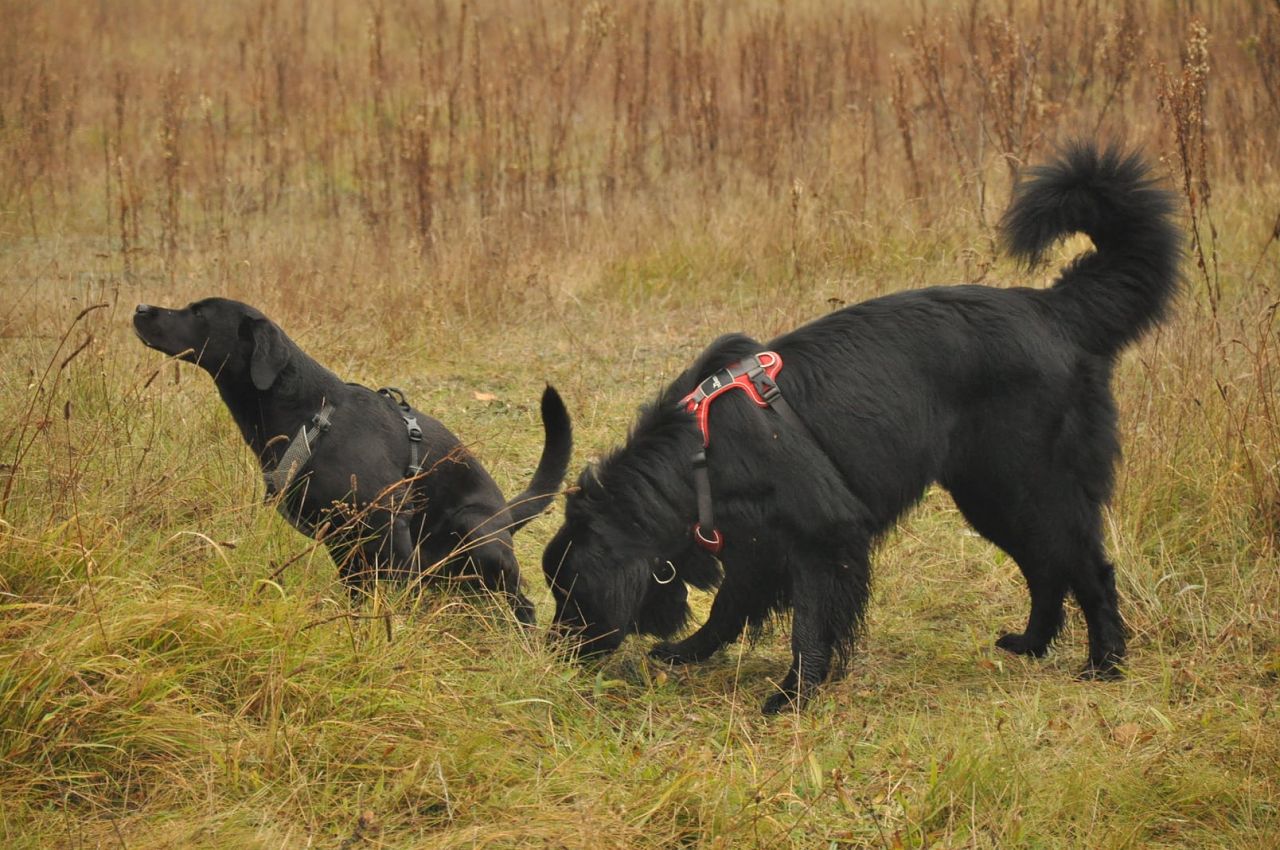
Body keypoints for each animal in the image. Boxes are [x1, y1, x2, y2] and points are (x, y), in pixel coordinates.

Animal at [134, 298, 572, 624]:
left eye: (198, 313)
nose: (140, 307)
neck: (312, 416)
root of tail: (507, 518)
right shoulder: (340, 538)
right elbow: (358, 592)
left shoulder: (387, 523)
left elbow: (396, 591)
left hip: (475, 532)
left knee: (521, 601)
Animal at [542, 142, 1181, 713]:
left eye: (570, 592)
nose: (554, 654)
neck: (703, 452)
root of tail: (1056, 309)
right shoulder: (758, 543)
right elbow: (729, 606)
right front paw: (691, 652)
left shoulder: (824, 536)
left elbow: (808, 623)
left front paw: (793, 696)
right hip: (991, 495)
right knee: (1046, 567)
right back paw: (1031, 645)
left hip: (1034, 484)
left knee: (1089, 568)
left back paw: (1104, 663)